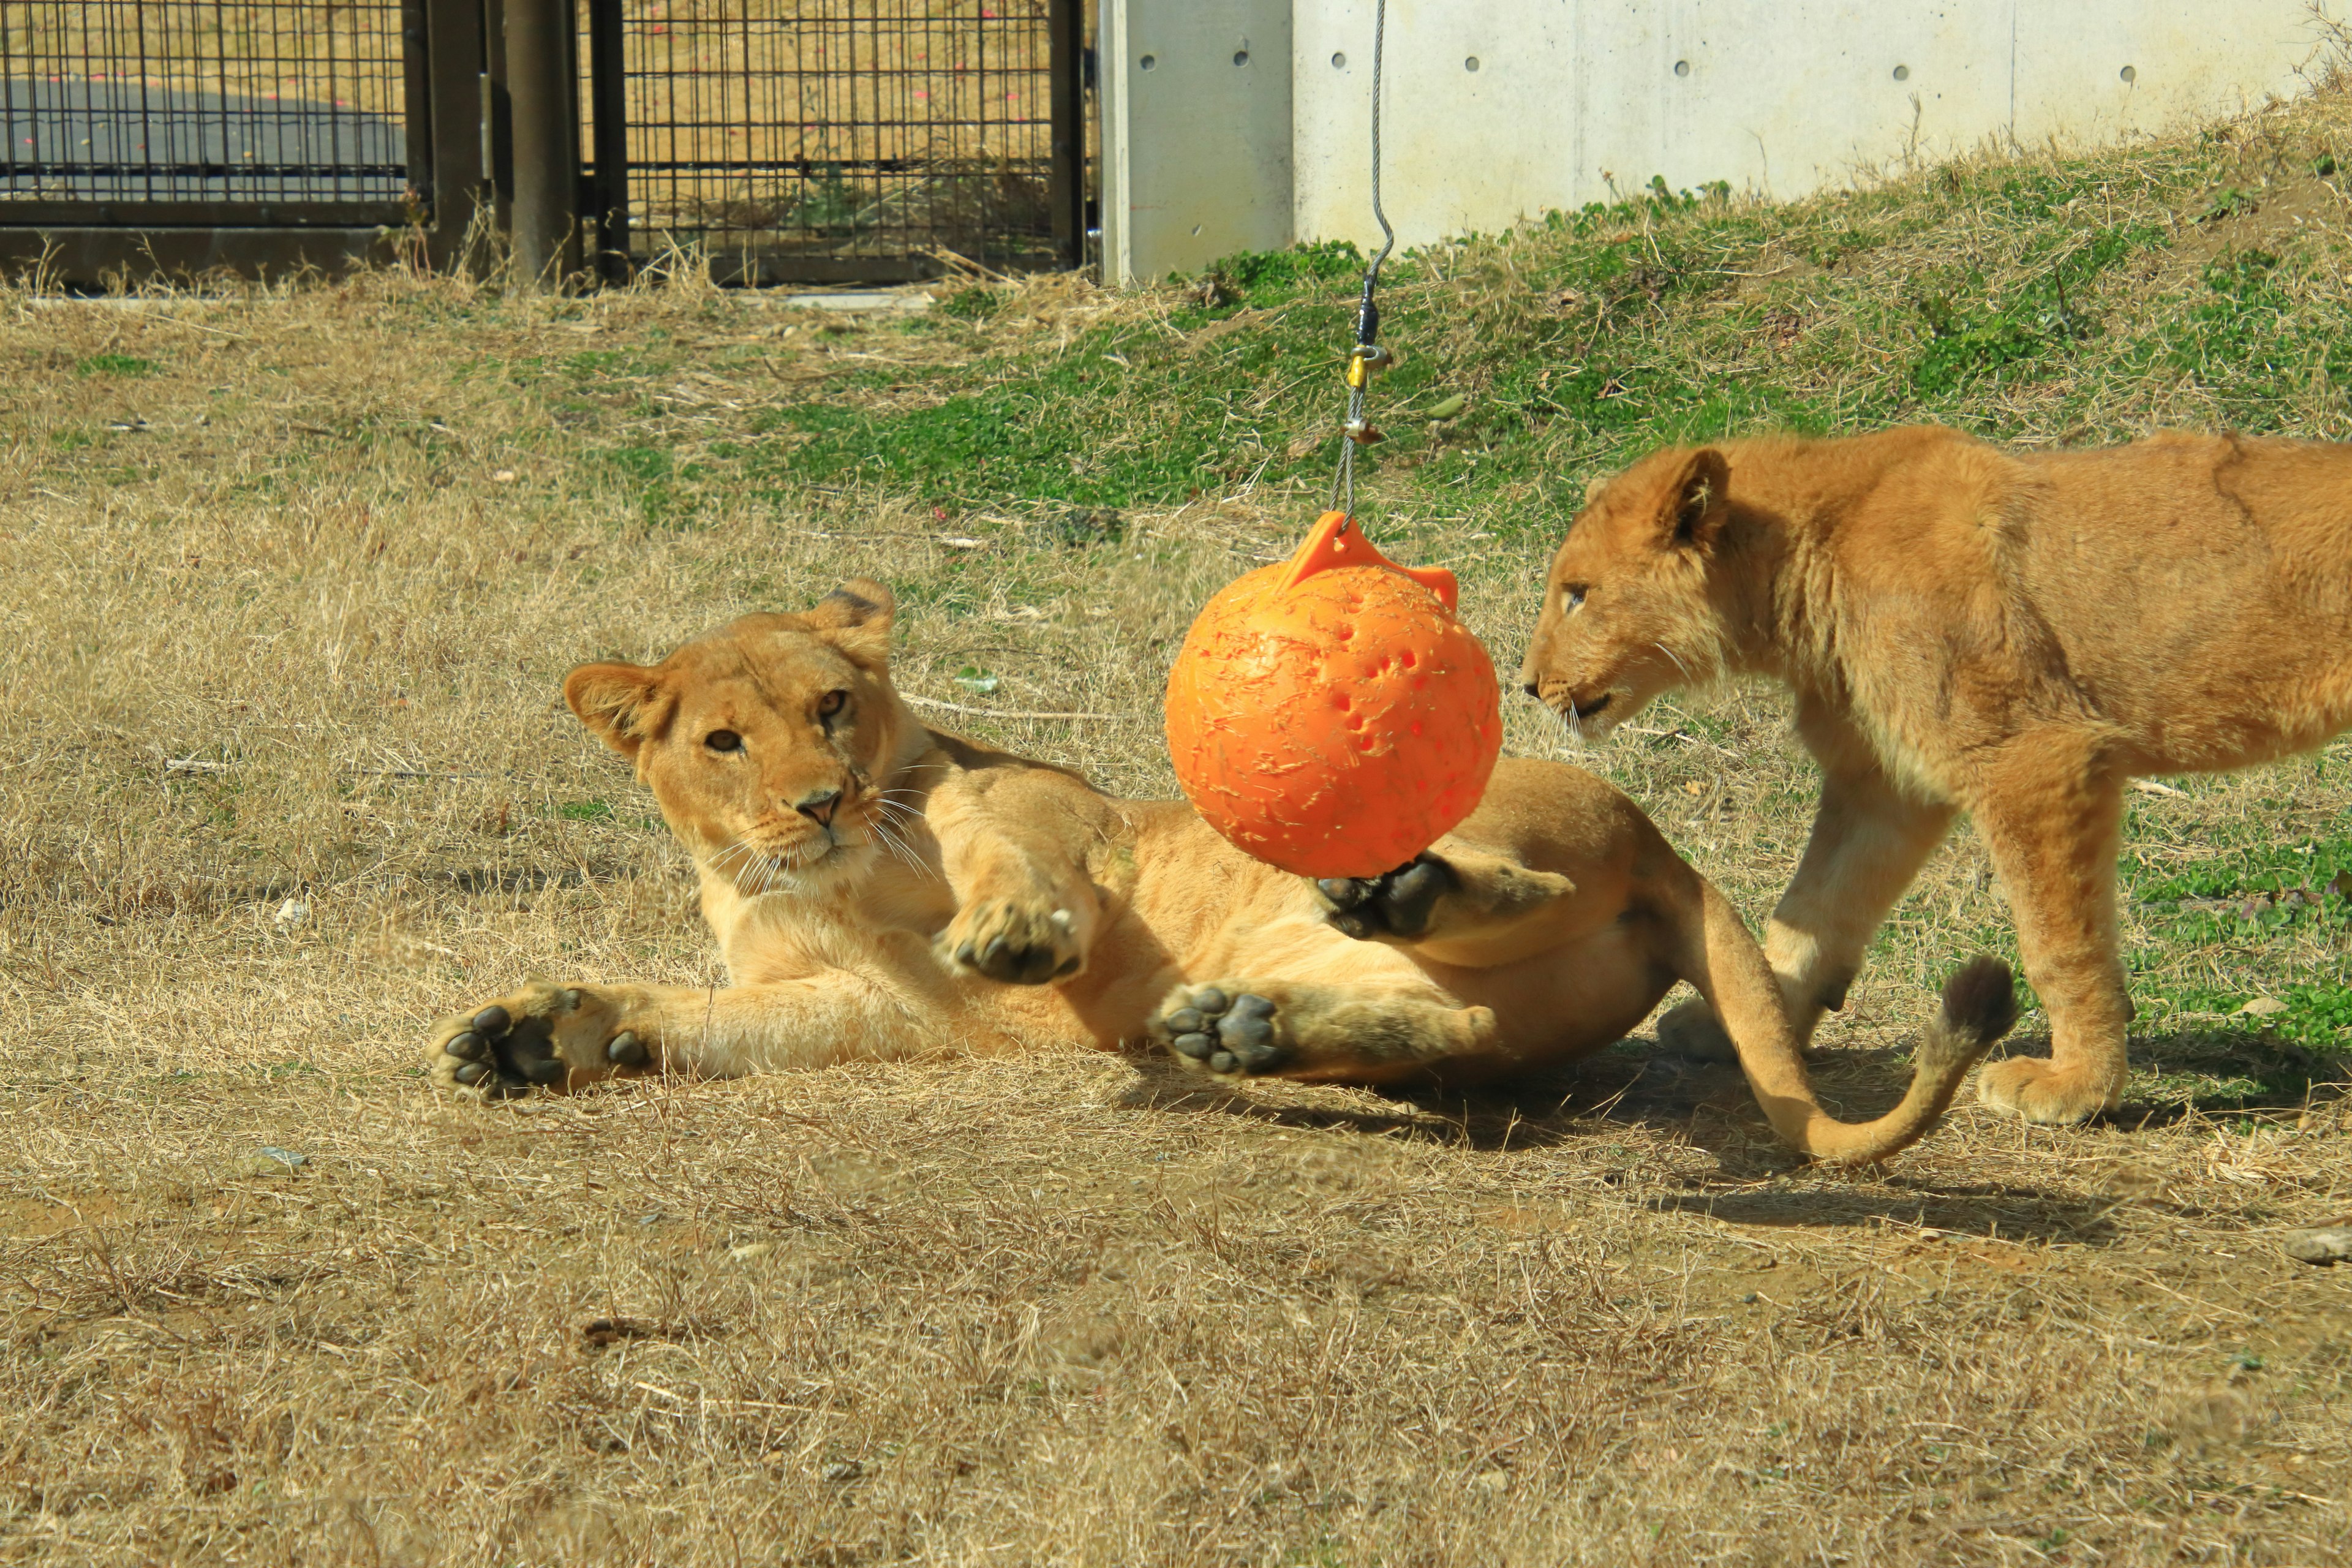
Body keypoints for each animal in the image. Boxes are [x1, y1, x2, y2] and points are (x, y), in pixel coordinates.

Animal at [428, 581, 2022, 1166]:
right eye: (721, 740)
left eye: (832, 705)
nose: (820, 799)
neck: (800, 880)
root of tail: (1662, 843)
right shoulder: (870, 1006)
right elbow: (712, 1018)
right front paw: (536, 1032)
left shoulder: (1050, 816)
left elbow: (1009, 861)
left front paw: (1016, 928)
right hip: (1444, 997)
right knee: (1448, 1025)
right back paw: (1244, 1029)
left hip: (1488, 819)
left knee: (1517, 880)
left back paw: (1397, 891)